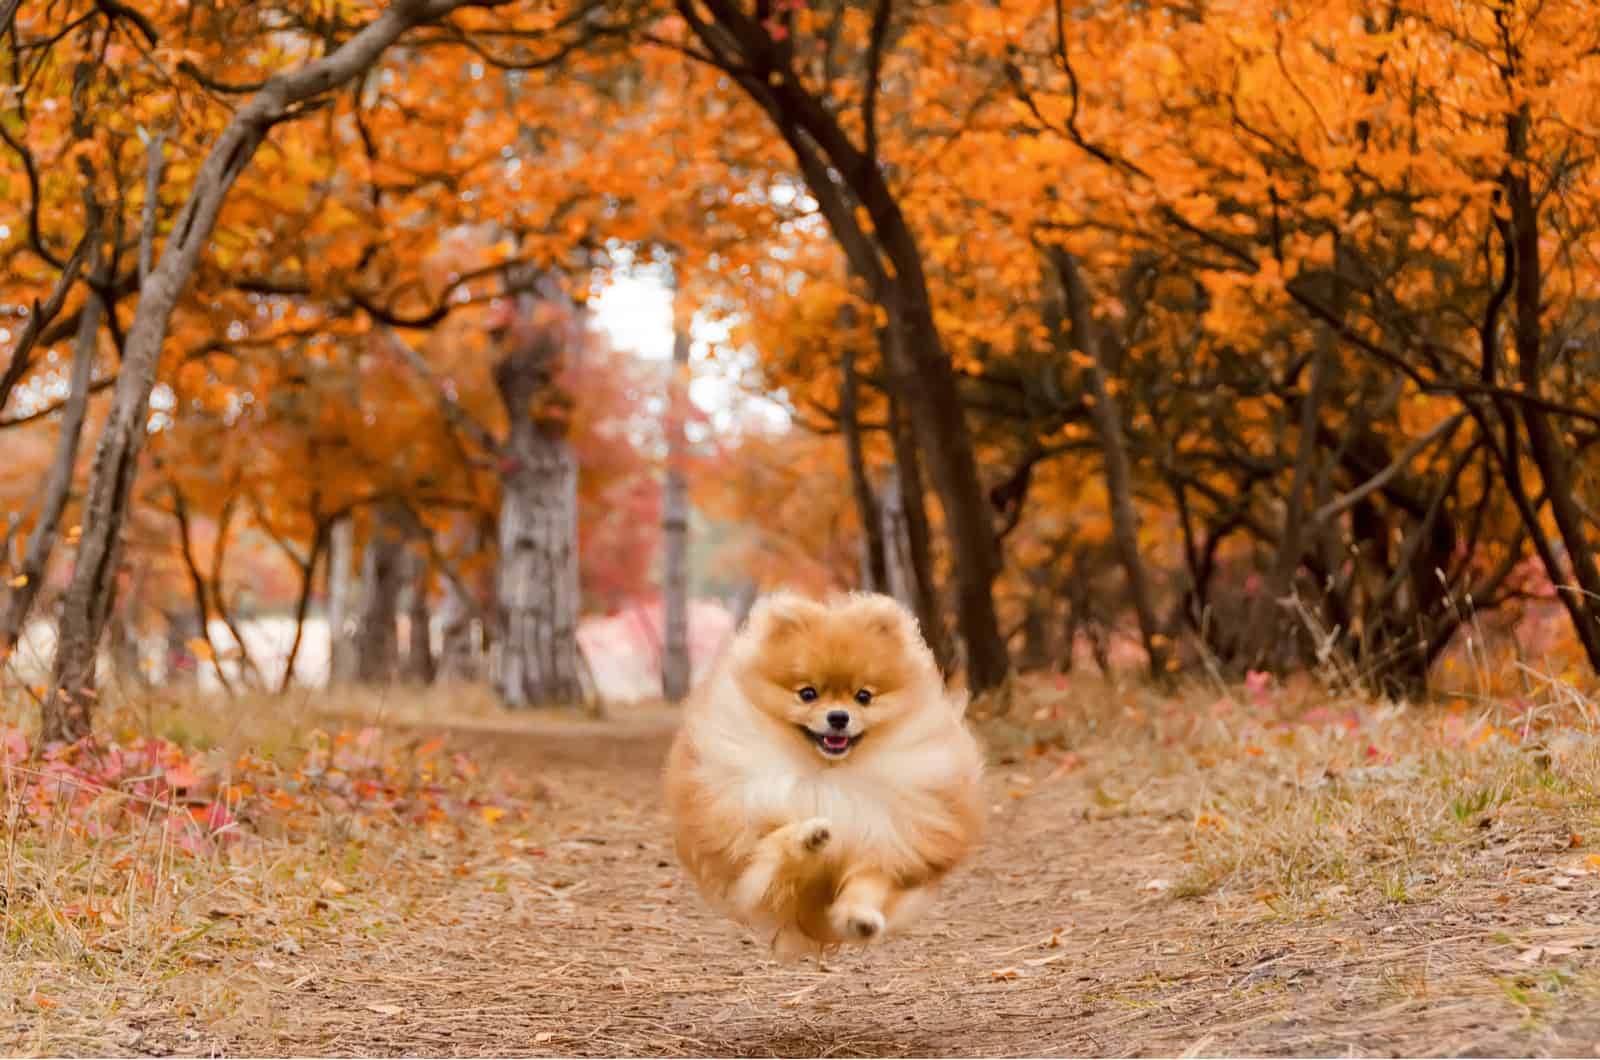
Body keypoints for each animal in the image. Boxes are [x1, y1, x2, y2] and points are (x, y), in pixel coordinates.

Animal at [665, 592, 985, 960]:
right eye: (807, 693)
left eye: (864, 696)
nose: (838, 717)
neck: (828, 776)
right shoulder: (748, 852)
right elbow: (775, 846)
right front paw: (810, 836)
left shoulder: (883, 839)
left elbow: (867, 884)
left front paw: (860, 918)